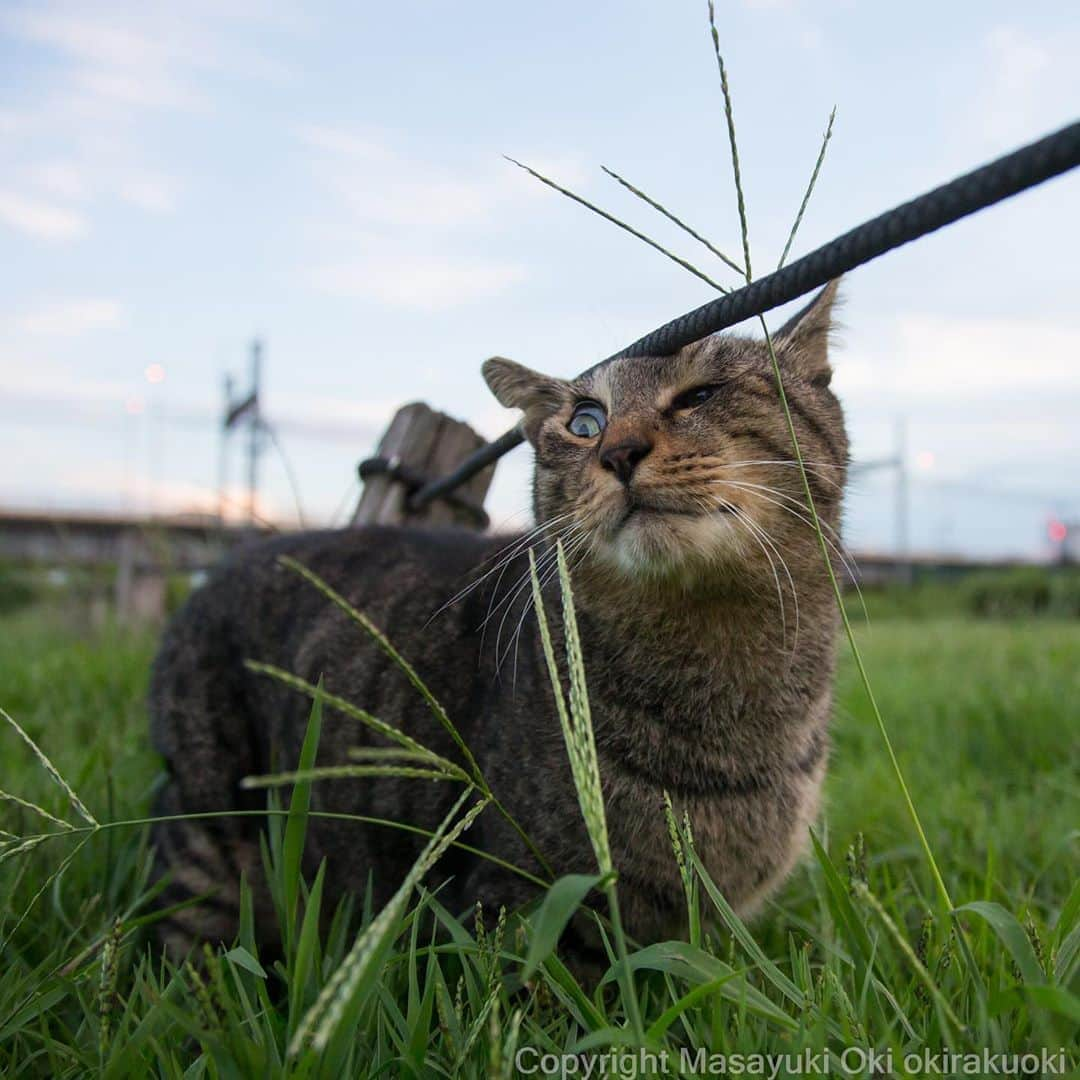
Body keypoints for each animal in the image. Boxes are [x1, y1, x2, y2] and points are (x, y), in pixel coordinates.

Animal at [150, 282, 842, 959]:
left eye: (701, 395)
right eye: (586, 421)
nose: (619, 452)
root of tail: (223, 563)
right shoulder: (521, 905)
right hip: (208, 835)